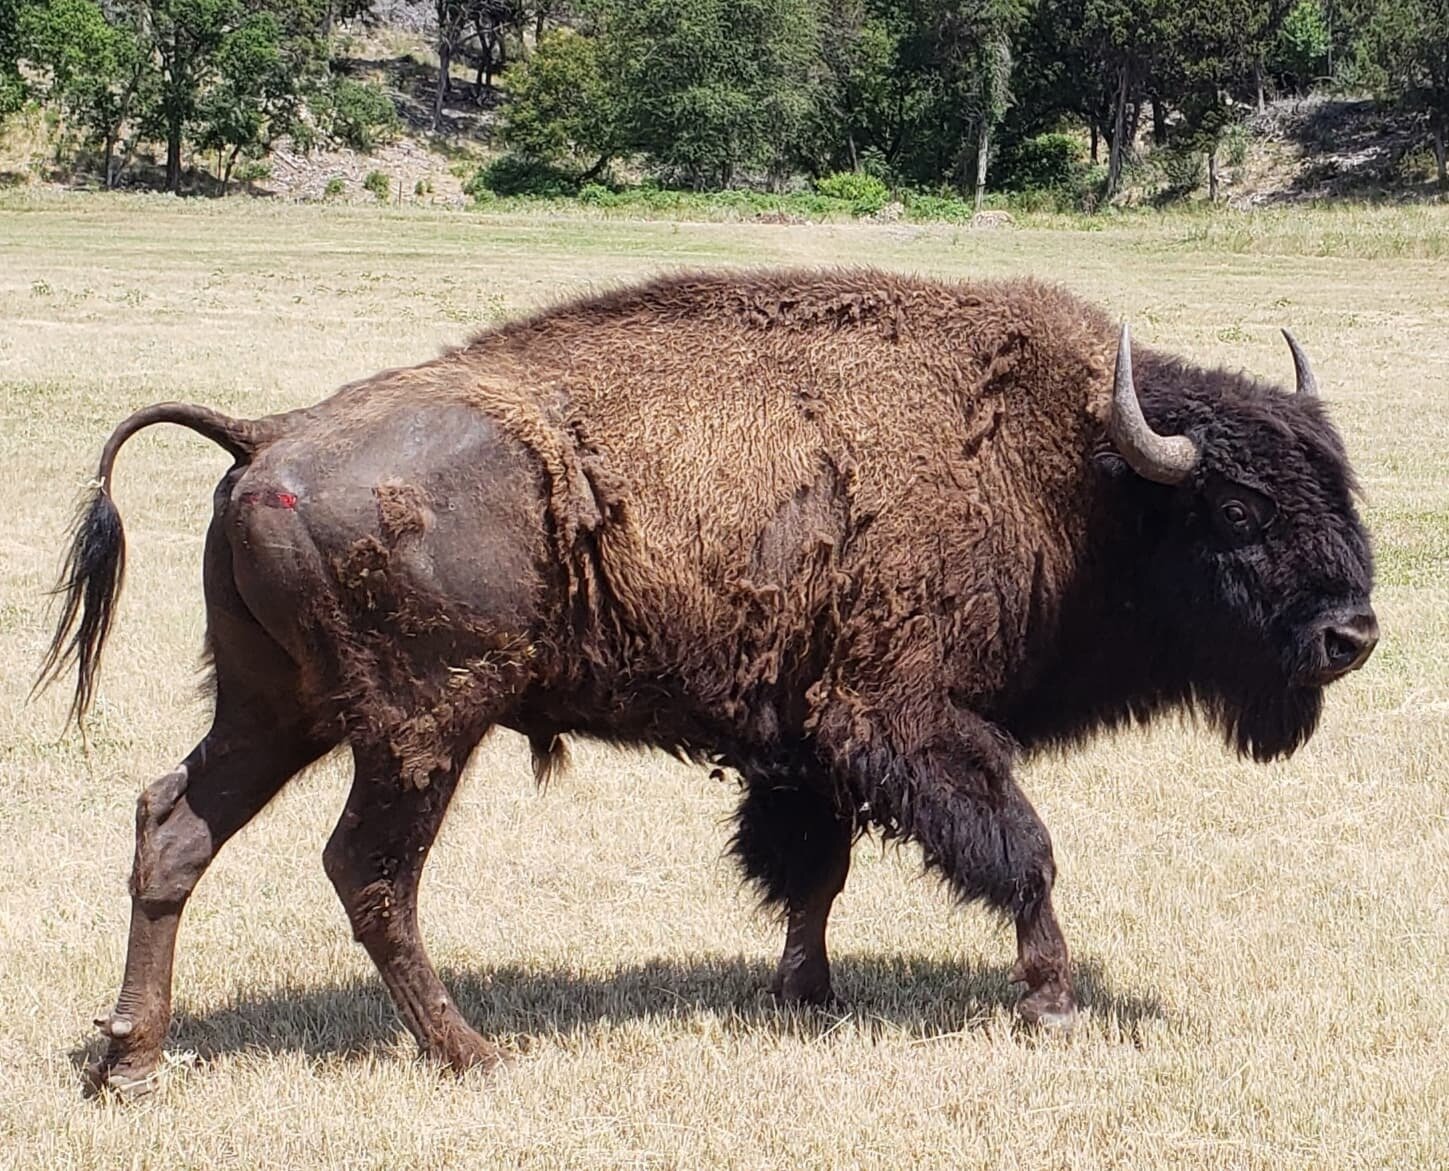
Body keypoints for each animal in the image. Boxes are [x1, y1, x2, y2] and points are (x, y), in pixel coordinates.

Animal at [40, 270, 1376, 1095]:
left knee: (174, 826)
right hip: (421, 724)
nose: (1352, 633)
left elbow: (813, 870)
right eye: (1239, 511)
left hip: (274, 709)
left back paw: (132, 1060)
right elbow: (1019, 846)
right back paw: (473, 1053)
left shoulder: (809, 748)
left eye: (1338, 486)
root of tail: (268, 434)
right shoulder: (903, 720)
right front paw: (1049, 998)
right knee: (369, 872)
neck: (1078, 475)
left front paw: (807, 992)